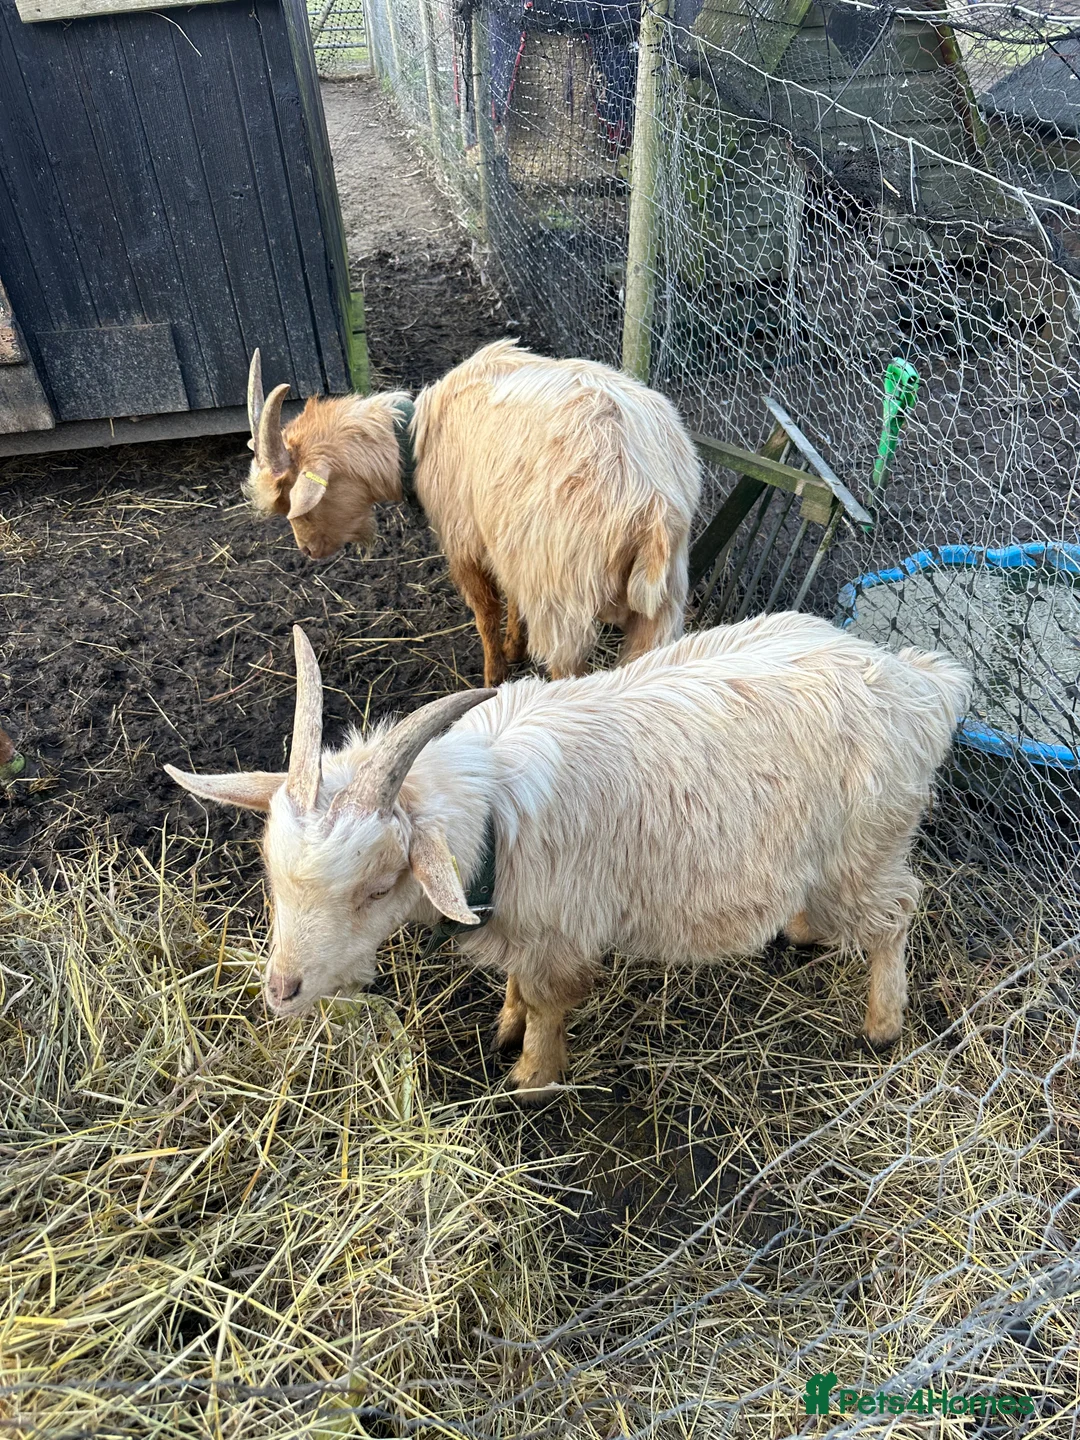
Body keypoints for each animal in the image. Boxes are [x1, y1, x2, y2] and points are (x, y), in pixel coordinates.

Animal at [166, 617, 970, 1102]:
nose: (281, 992)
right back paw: (801, 932)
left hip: (864, 849)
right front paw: (506, 1025)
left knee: (898, 911)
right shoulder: (524, 924)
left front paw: (532, 1078)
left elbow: (552, 1003)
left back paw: (882, 1024)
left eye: (377, 886)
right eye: (273, 876)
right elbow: (520, 985)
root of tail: (921, 683)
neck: (495, 820)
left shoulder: (563, 928)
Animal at [244, 341, 702, 685]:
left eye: (291, 496)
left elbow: (485, 613)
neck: (415, 437)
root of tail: (649, 506)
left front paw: (493, 675)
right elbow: (513, 601)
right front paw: (515, 647)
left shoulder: (465, 541)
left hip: (563, 605)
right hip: (660, 608)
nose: (307, 550)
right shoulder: (508, 546)